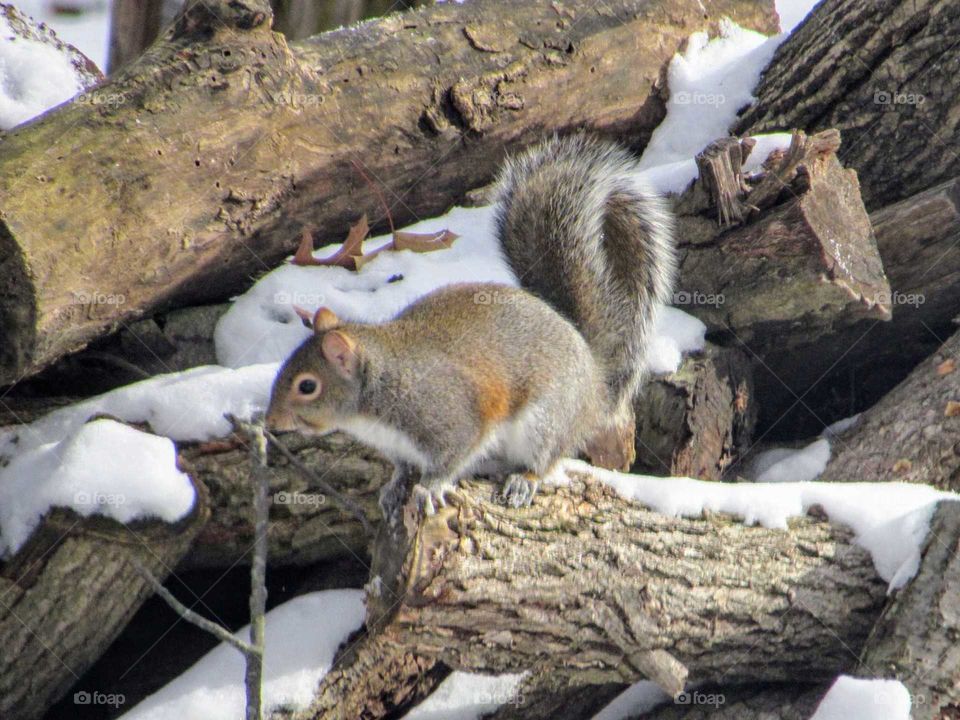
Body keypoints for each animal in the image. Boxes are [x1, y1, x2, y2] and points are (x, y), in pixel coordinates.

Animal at [266, 134, 677, 517]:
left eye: (307, 386)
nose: (271, 422)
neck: (375, 397)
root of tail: (593, 379)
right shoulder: (399, 447)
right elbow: (403, 468)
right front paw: (396, 486)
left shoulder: (451, 418)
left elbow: (453, 455)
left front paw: (430, 488)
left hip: (545, 419)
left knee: (544, 459)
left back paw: (523, 480)